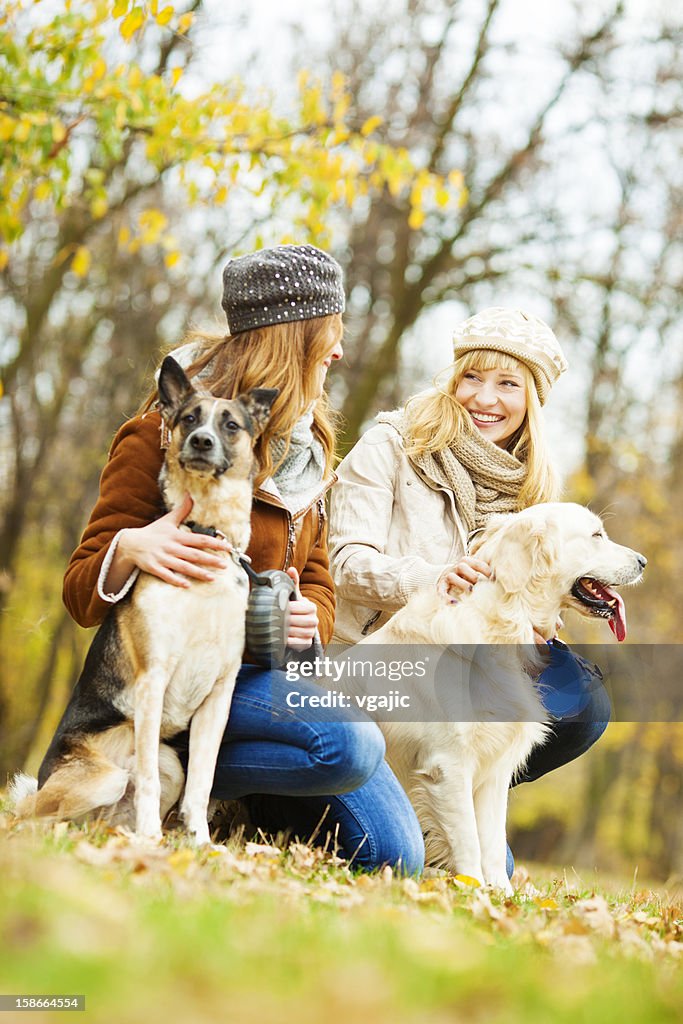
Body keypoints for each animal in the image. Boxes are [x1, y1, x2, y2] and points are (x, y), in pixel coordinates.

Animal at [12, 356, 276, 843]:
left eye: (230, 425)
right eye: (189, 418)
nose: (201, 440)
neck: (206, 532)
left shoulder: (218, 696)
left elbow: (203, 782)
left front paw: (200, 845)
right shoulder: (153, 678)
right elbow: (149, 781)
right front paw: (155, 841)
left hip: (170, 764)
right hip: (102, 777)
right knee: (30, 818)